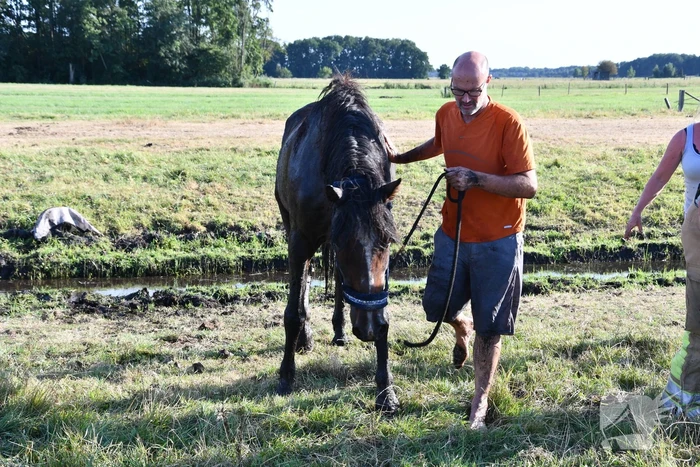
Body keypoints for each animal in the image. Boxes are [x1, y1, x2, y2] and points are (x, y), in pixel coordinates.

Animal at [274, 74, 401, 413]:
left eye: (388, 242)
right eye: (344, 244)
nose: (367, 327)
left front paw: (385, 388)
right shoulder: (301, 242)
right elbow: (293, 312)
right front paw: (286, 375)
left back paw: (341, 330)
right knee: (305, 288)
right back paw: (305, 339)